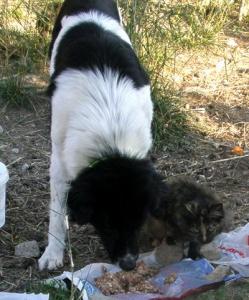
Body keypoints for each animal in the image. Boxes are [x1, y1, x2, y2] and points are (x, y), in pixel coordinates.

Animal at [38, 0, 165, 272]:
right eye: (107, 223)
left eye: (139, 220)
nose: (128, 264)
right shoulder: (59, 159)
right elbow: (56, 212)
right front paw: (52, 253)